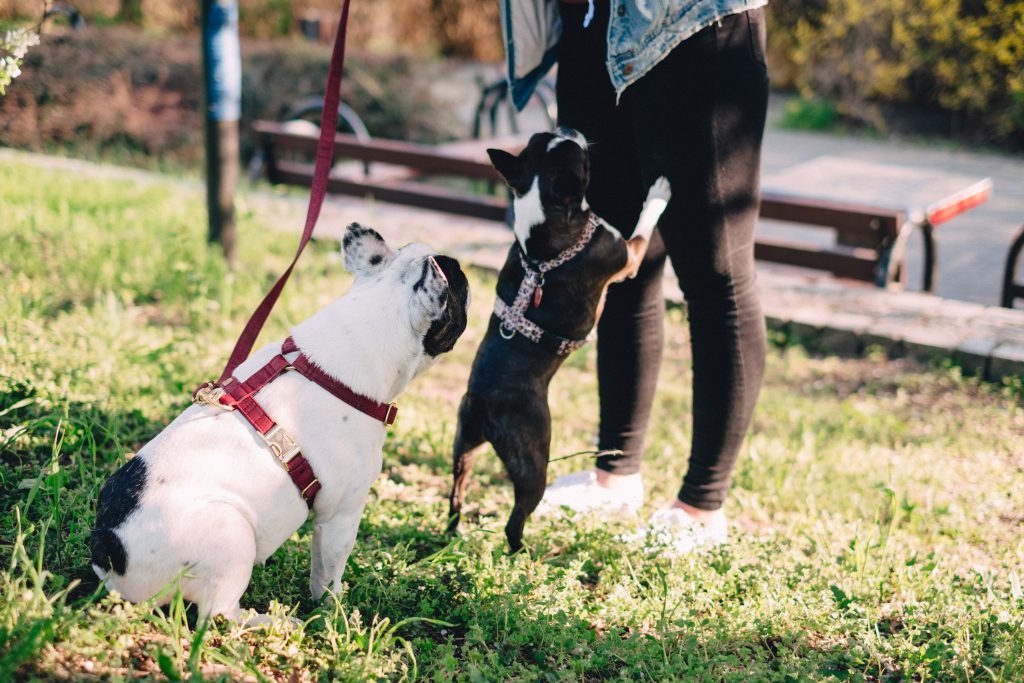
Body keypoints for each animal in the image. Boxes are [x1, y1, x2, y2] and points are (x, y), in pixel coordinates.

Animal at [90, 224, 468, 618]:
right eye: (463, 283)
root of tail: (110, 553)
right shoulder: (341, 514)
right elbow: (328, 572)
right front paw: (334, 613)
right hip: (232, 534)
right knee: (219, 614)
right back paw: (274, 621)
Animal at [448, 127, 671, 552]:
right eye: (580, 156)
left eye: (543, 137)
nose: (571, 129)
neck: (543, 233)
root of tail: (484, 402)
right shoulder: (625, 254)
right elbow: (643, 224)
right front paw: (660, 191)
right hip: (534, 461)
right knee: (515, 520)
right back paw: (526, 554)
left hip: (463, 445)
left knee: (456, 492)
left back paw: (453, 532)